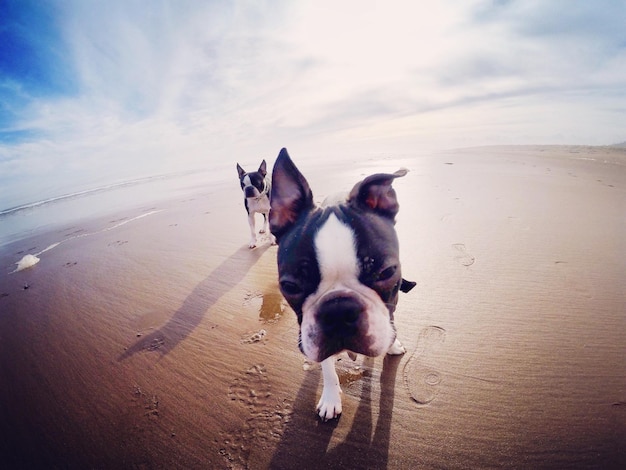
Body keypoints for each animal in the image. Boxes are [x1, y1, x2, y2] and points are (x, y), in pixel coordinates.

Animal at [268, 149, 414, 420]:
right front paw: (330, 399)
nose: (339, 310)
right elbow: (327, 368)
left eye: (387, 272)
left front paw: (392, 343)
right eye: (290, 286)